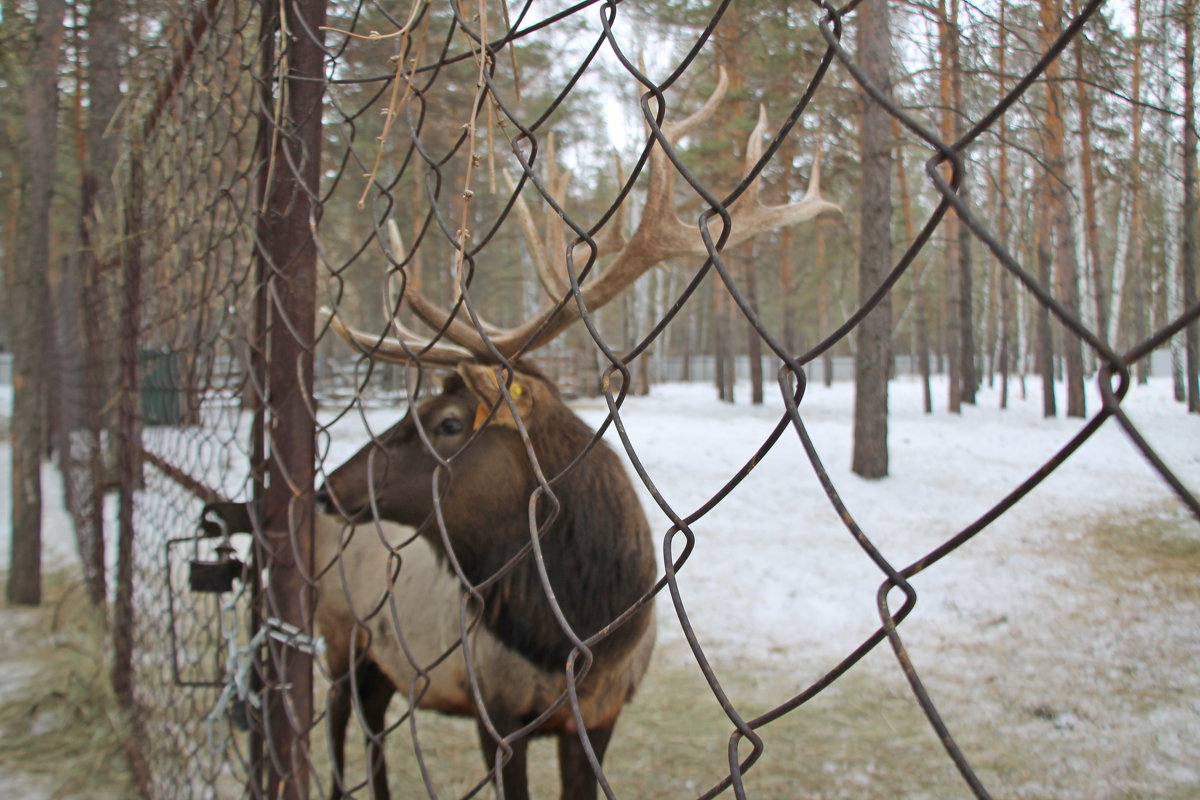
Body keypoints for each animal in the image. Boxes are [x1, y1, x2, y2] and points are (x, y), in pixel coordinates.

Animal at [312, 70, 835, 800]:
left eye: (449, 423)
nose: (327, 488)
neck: (578, 634)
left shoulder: (602, 712)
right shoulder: (497, 709)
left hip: (379, 660)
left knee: (371, 728)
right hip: (340, 634)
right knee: (342, 723)